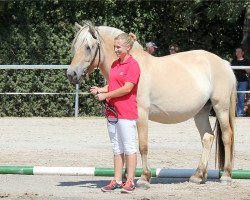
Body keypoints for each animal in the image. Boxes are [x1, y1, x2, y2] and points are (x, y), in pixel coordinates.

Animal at [66, 21, 236, 188]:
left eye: (88, 47)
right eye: (75, 47)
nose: (71, 74)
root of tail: (224, 63)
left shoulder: (141, 114)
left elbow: (142, 145)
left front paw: (144, 178)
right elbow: (127, 144)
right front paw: (126, 176)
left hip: (221, 107)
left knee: (227, 136)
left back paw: (226, 176)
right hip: (201, 112)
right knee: (207, 138)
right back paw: (198, 176)